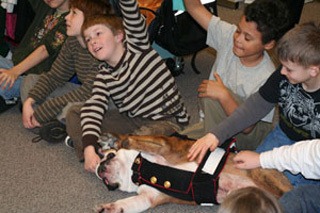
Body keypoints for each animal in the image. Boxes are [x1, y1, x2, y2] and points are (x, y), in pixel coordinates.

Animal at [94, 133, 292, 213]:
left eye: (110, 155)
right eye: (106, 185)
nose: (99, 167)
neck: (136, 169)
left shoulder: (165, 146)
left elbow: (131, 140)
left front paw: (115, 140)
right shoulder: (147, 198)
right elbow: (124, 204)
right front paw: (109, 208)